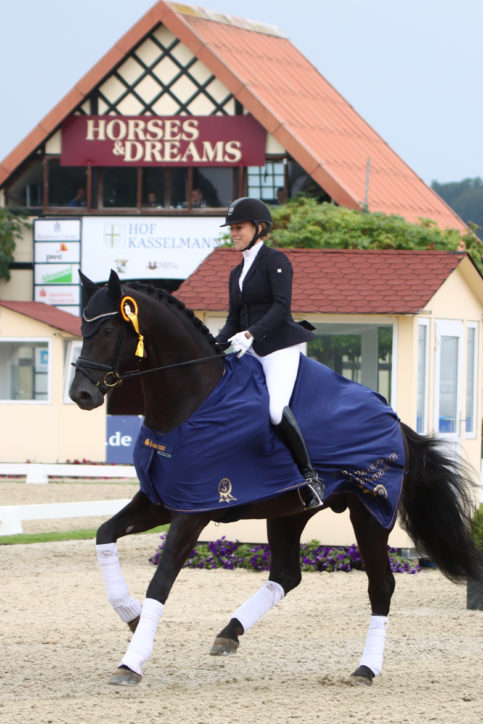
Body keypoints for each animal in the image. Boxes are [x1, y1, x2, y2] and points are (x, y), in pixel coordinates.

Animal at [70, 270, 482, 684]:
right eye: (83, 329)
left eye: (108, 329)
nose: (81, 394)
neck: (193, 404)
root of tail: (396, 421)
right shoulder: (159, 501)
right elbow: (104, 535)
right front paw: (131, 614)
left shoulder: (193, 511)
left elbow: (162, 579)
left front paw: (131, 661)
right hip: (291, 512)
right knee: (286, 574)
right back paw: (229, 632)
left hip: (370, 513)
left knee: (381, 586)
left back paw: (365, 668)